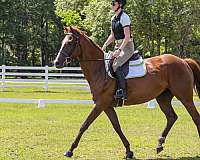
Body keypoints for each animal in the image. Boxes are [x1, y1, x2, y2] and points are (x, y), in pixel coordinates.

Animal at [54, 26, 200, 159]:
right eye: (63, 42)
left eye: (70, 42)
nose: (56, 63)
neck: (99, 69)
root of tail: (183, 61)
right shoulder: (107, 106)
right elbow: (117, 126)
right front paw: (129, 151)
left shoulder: (100, 104)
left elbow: (84, 124)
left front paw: (70, 150)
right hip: (163, 98)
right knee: (171, 117)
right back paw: (159, 144)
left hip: (185, 97)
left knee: (195, 117)